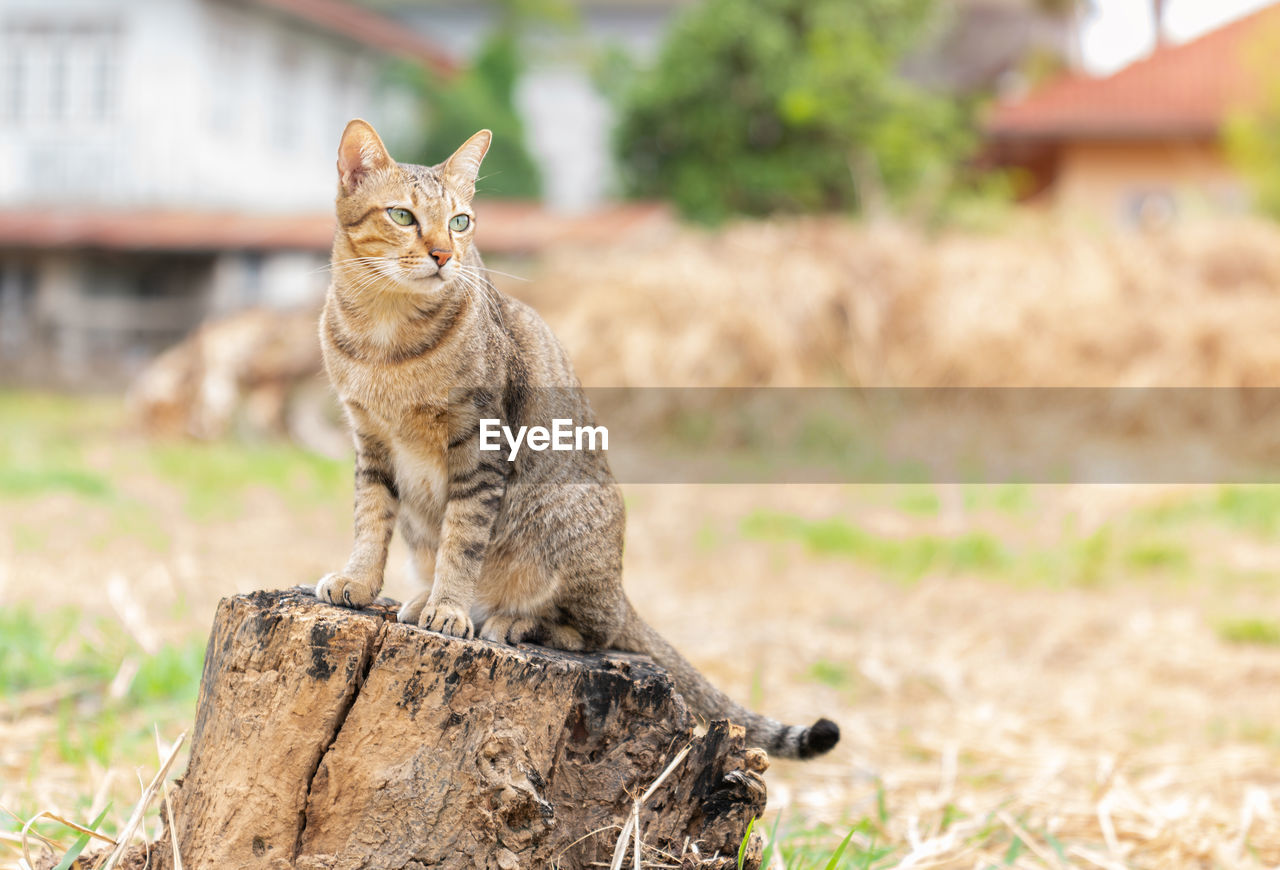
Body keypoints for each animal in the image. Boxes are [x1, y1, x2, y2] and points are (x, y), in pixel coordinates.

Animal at [313, 118, 839, 757]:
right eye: (403, 216)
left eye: (460, 221)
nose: (444, 254)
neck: (385, 333)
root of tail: (619, 588)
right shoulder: (371, 440)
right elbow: (370, 518)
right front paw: (361, 581)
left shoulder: (480, 445)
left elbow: (462, 538)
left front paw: (448, 607)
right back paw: (422, 599)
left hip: (566, 524)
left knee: (592, 629)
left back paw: (505, 618)